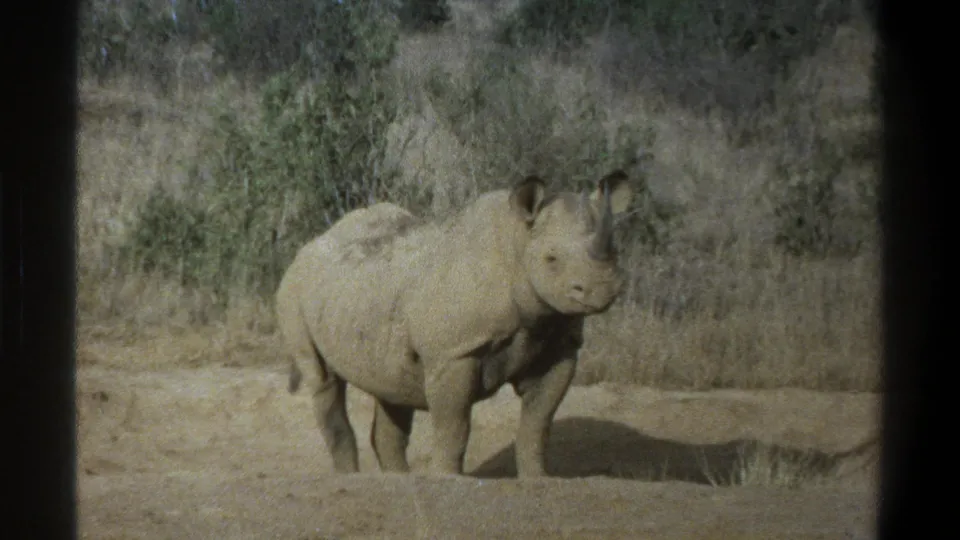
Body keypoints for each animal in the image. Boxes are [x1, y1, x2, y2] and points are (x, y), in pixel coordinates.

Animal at [276, 170, 634, 477]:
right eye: (551, 259)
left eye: (615, 250)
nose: (603, 288)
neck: (517, 244)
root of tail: (308, 247)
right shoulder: (454, 352)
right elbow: (454, 426)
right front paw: (447, 478)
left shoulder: (558, 343)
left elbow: (537, 423)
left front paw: (538, 479)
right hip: (294, 290)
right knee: (323, 379)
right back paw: (351, 478)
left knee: (390, 387)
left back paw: (398, 480)